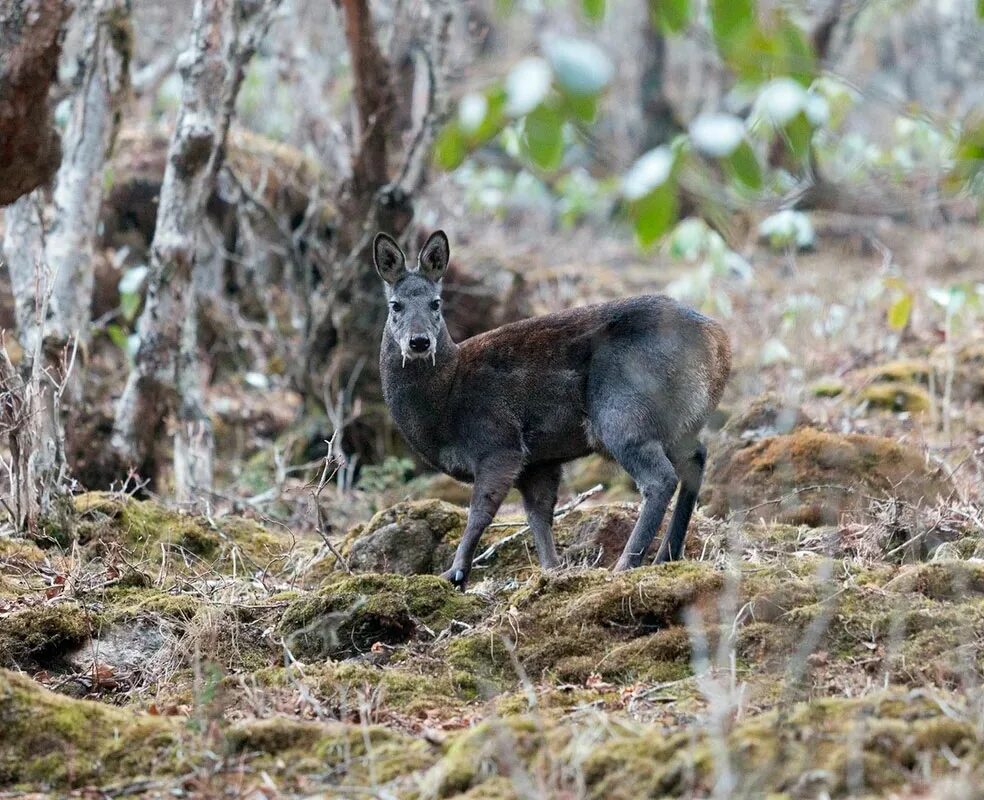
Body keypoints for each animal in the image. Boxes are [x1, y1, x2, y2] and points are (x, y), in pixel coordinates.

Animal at [376, 230, 732, 588]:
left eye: (436, 303)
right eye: (395, 305)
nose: (419, 342)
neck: (446, 400)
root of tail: (719, 343)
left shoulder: (498, 441)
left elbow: (481, 511)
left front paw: (455, 574)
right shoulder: (539, 461)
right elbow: (538, 515)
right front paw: (551, 571)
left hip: (624, 412)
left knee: (659, 478)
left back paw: (625, 565)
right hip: (677, 421)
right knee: (696, 457)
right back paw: (665, 557)